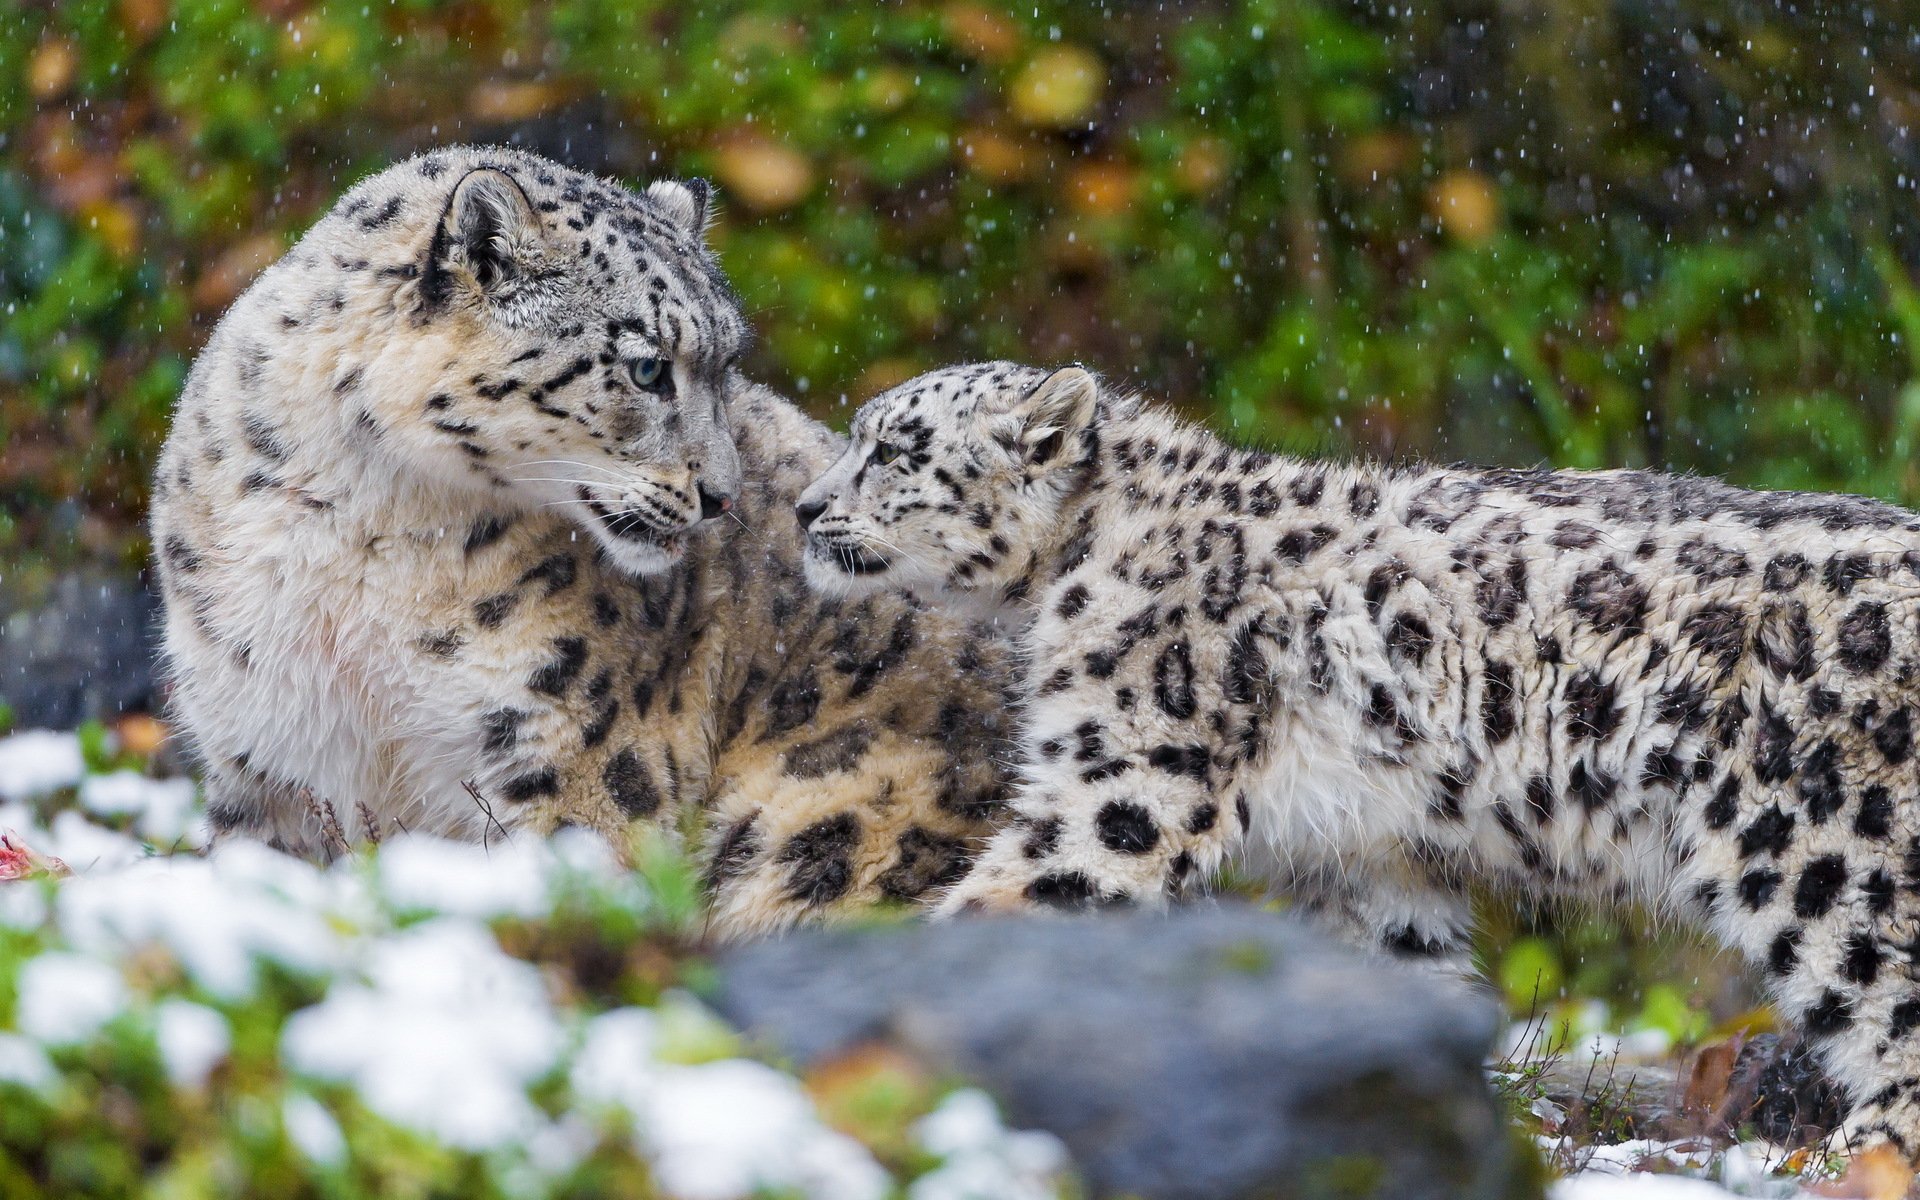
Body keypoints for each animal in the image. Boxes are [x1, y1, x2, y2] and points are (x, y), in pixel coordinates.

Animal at [149, 146, 1013, 935]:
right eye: (647, 368)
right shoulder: (263, 752)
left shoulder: (576, 750)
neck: (363, 536)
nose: (723, 496)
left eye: (726, 364)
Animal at [796, 358, 1920, 1163]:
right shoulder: (1369, 859)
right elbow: (1402, 977)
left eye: (893, 450)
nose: (806, 508)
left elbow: (1004, 906)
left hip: (1827, 855)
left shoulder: (1123, 784)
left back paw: (1849, 1160)